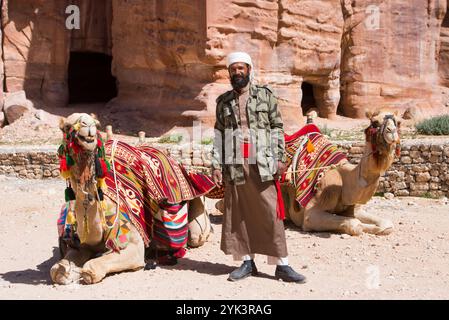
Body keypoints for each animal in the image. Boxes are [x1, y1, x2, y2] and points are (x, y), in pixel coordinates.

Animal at [50, 113, 212, 284]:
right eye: (66, 127)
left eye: (96, 123)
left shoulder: (133, 243)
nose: (87, 125)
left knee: (196, 235)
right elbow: (56, 271)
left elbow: (91, 269)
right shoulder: (82, 245)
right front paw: (66, 270)